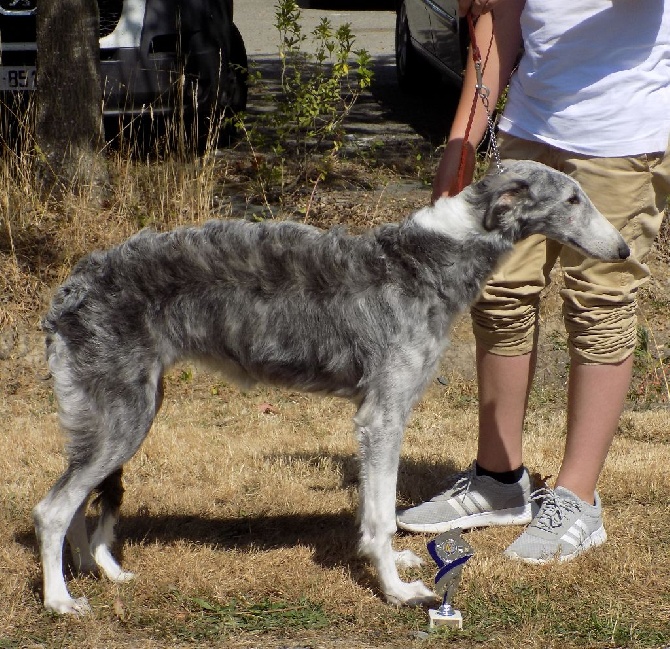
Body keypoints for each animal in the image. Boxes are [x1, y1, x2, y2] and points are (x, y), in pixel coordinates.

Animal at [32, 161, 632, 612]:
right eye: (573, 199)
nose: (625, 251)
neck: (427, 258)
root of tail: (70, 289)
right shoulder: (382, 416)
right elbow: (380, 515)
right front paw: (398, 590)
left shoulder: (378, 416)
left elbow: (377, 510)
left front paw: (398, 567)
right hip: (122, 418)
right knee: (52, 510)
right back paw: (60, 600)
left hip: (126, 412)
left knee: (81, 502)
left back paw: (102, 571)